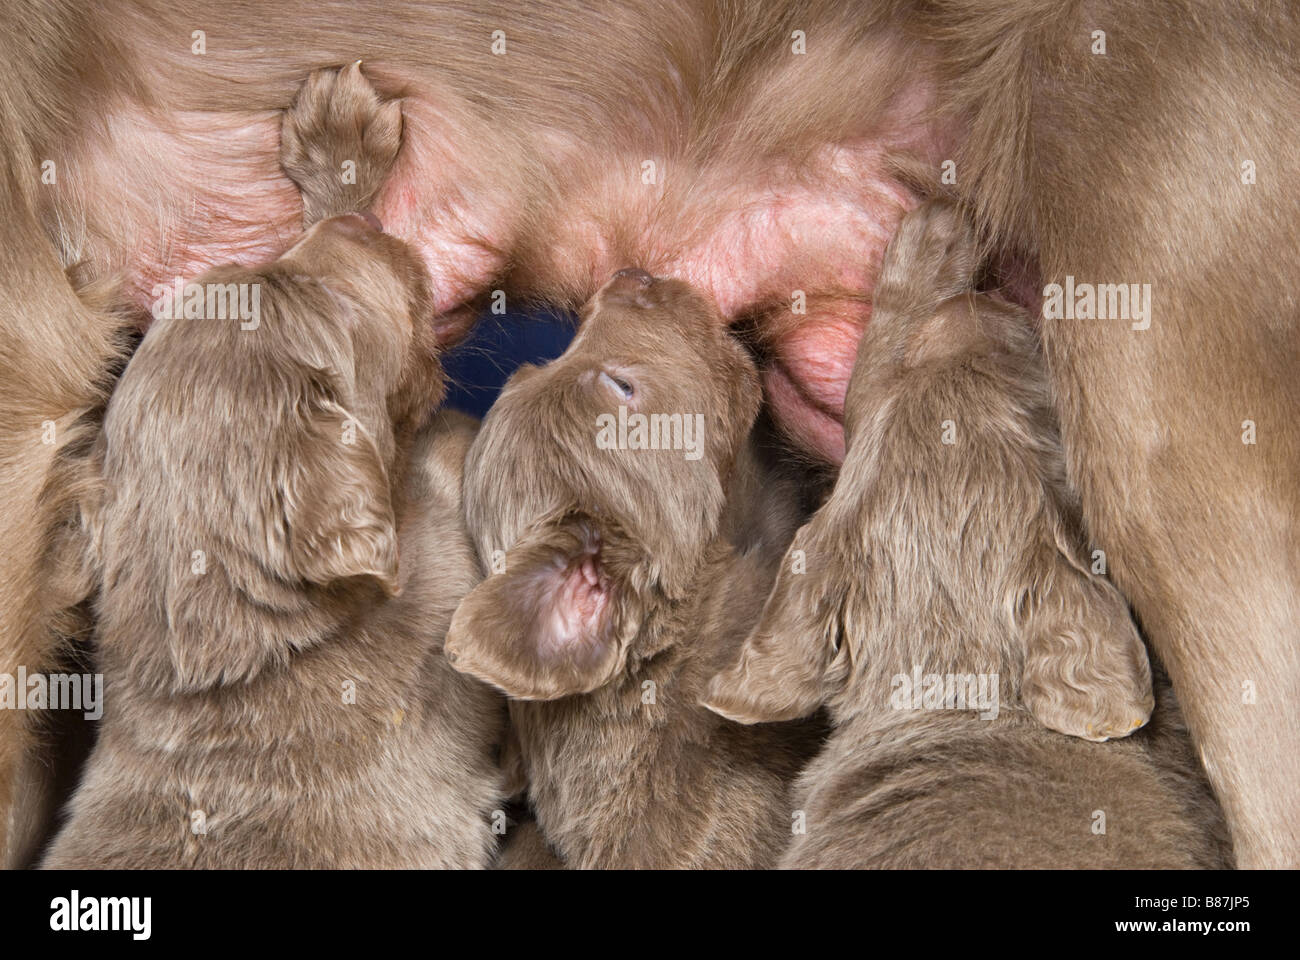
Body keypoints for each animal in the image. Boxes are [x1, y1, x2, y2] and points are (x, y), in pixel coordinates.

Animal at [38, 63, 499, 863]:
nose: (356, 227)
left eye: (261, 263)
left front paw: (338, 143)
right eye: (329, 298)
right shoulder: (439, 606)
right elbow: (453, 464)